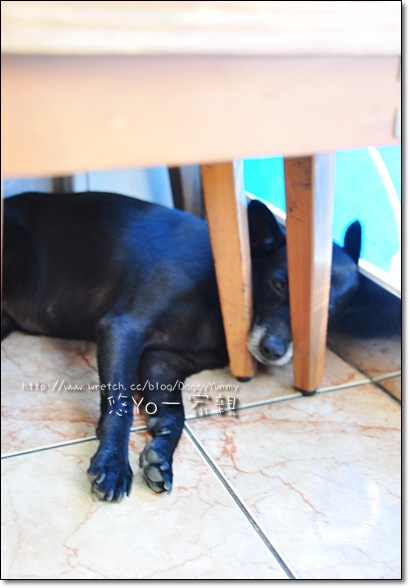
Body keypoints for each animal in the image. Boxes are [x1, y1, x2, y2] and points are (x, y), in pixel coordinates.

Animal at [2, 191, 364, 502]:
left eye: (325, 313)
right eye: (278, 283)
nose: (273, 351)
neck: (217, 289)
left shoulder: (162, 362)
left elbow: (175, 416)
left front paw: (160, 454)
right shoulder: (123, 327)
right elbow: (120, 406)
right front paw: (113, 463)